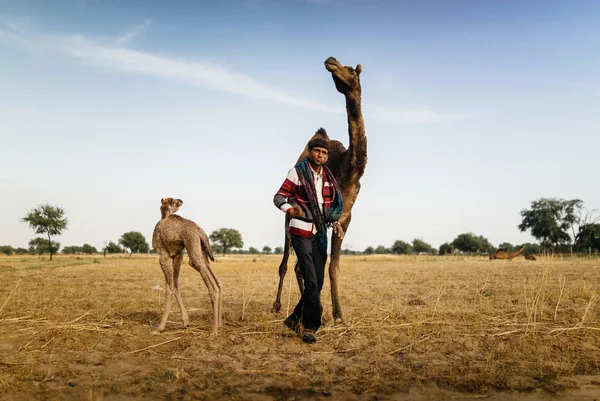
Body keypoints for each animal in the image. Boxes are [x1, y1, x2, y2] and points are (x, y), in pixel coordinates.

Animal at [152, 197, 223, 332]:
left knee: (211, 286)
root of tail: (199, 231)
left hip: (192, 246)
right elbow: (175, 285)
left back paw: (214, 330)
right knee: (216, 280)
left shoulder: (163, 255)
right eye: (174, 201)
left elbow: (169, 289)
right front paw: (185, 322)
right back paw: (219, 323)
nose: (180, 200)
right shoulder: (178, 255)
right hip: (200, 250)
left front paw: (160, 327)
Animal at [272, 57, 366, 324]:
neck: (348, 172)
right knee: (286, 263)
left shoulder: (345, 217)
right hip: (288, 218)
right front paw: (327, 314)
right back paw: (277, 304)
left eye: (350, 70)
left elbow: (332, 267)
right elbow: (318, 266)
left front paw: (338, 315)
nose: (331, 61)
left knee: (298, 266)